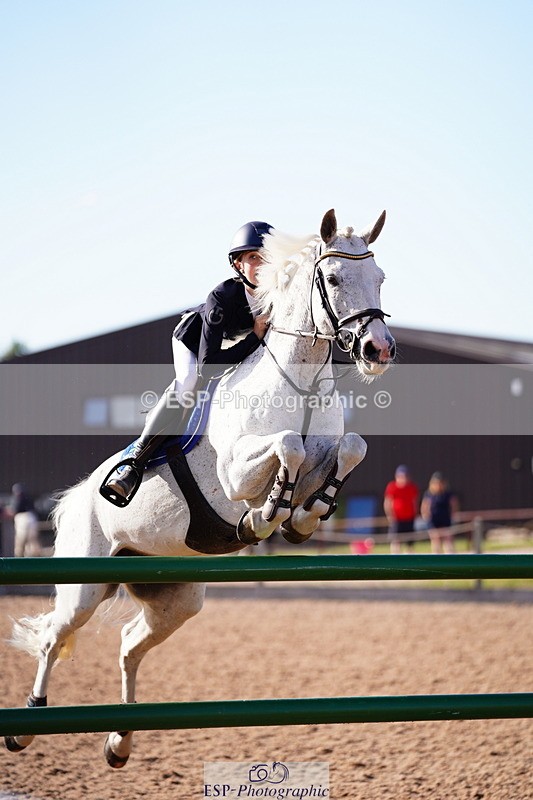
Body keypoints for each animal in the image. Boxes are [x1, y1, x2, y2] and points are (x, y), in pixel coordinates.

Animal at [5, 208, 395, 767]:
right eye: (336, 279)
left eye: (380, 277)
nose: (377, 349)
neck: (297, 383)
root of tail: (75, 498)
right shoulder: (236, 472)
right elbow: (287, 449)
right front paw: (265, 516)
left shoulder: (330, 452)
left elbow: (350, 448)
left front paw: (304, 517)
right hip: (83, 586)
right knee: (53, 640)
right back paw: (26, 726)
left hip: (177, 598)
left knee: (129, 643)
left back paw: (120, 741)